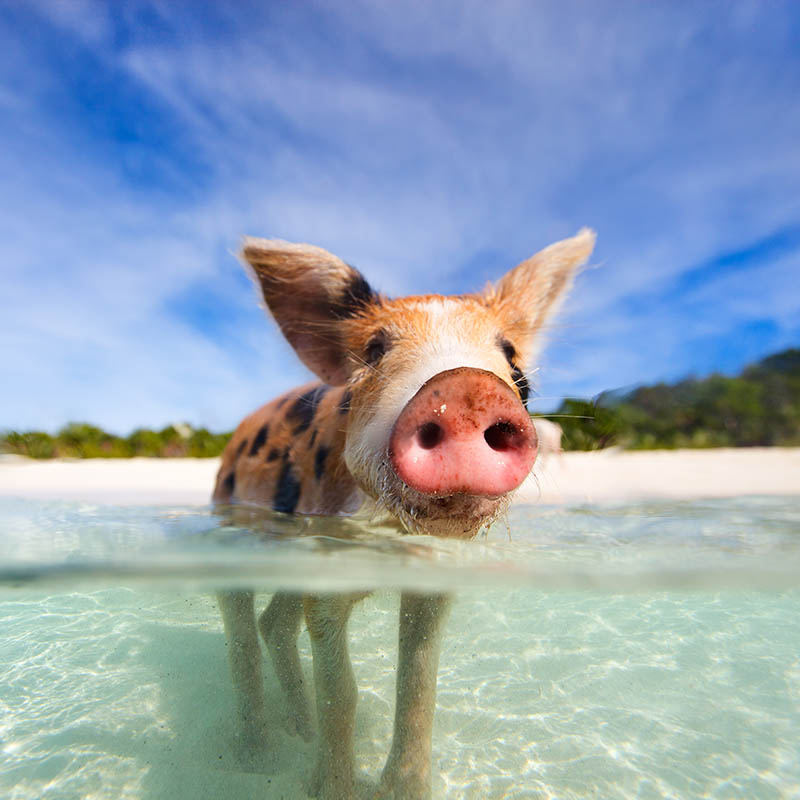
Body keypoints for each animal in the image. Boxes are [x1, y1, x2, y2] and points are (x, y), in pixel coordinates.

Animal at [212, 228, 592, 796]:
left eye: (515, 365)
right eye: (374, 350)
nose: (466, 388)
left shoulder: (434, 579)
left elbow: (417, 688)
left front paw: (401, 789)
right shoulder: (327, 571)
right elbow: (342, 694)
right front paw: (331, 789)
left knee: (273, 624)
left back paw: (298, 729)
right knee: (241, 633)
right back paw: (257, 758)